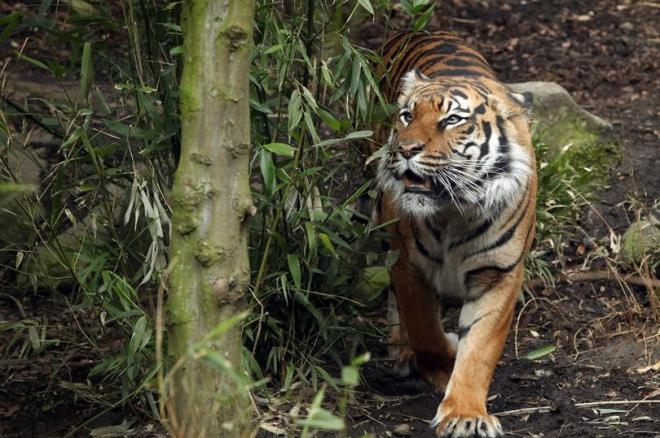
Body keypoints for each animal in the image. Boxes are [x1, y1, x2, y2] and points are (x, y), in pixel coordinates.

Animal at [374, 31, 540, 438]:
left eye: (452, 120)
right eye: (407, 116)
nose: (406, 149)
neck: (455, 210)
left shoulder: (499, 274)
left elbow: (479, 349)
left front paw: (465, 414)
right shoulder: (409, 265)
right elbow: (426, 332)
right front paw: (443, 360)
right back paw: (401, 352)